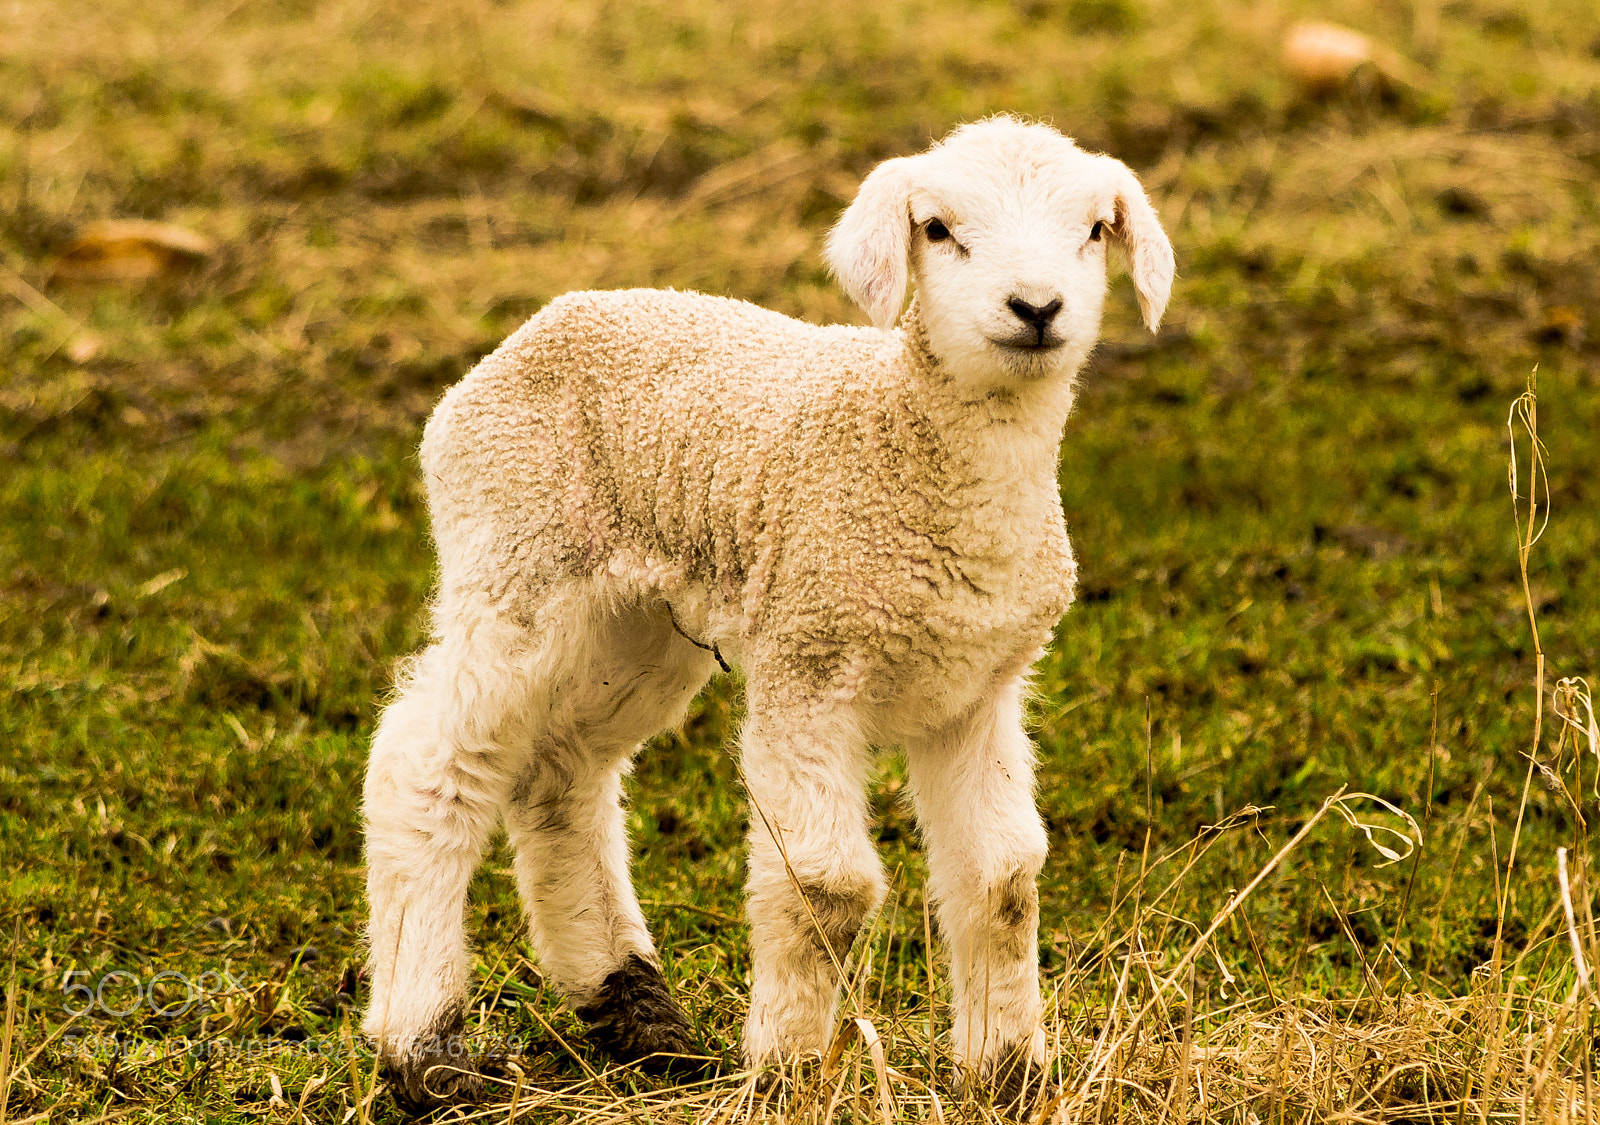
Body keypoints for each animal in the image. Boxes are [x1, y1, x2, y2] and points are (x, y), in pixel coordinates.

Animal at [361, 115, 1174, 1114]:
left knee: (562, 772)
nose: (1036, 307)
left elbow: (1003, 876)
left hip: (632, 621)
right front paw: (786, 1072)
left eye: (1094, 228)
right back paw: (425, 1049)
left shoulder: (975, 687)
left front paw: (1009, 1074)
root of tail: (531, 331)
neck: (908, 449)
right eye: (938, 228)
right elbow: (827, 884)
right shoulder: (809, 659)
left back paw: (637, 1012)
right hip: (517, 560)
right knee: (426, 764)